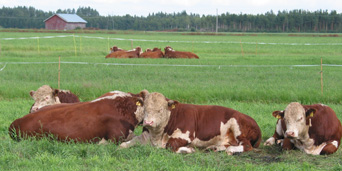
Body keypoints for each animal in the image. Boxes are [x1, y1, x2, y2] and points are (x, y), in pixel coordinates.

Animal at [121, 92, 262, 155]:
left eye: (160, 110)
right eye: (145, 109)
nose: (148, 122)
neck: (158, 135)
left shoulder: (186, 135)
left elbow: (170, 146)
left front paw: (189, 149)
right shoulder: (145, 135)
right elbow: (124, 144)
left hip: (237, 126)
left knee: (246, 146)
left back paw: (230, 150)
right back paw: (214, 147)